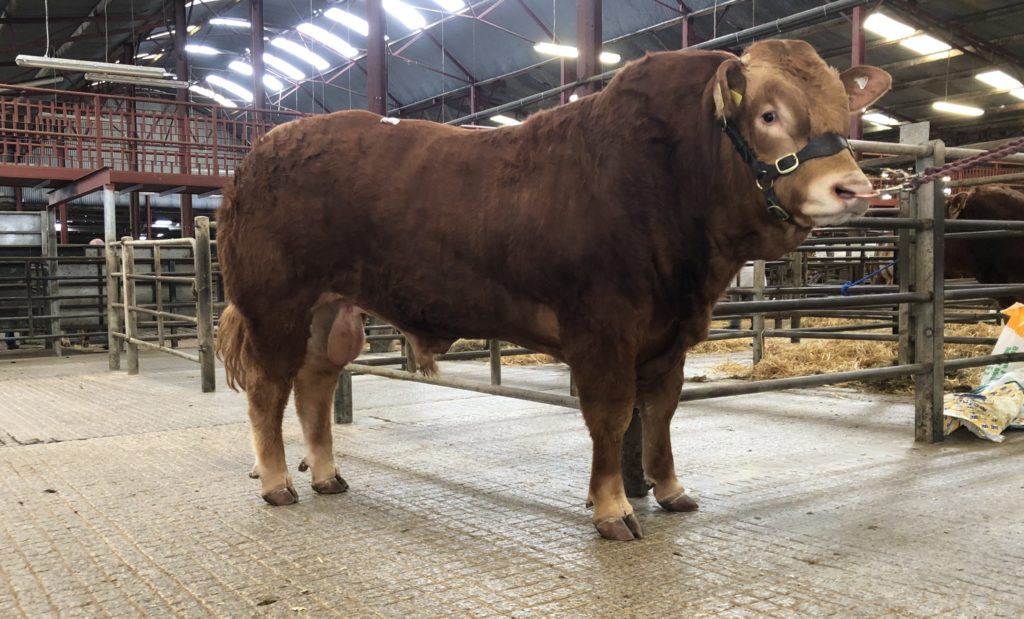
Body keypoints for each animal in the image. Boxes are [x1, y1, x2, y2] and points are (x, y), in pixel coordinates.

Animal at [216, 39, 890, 541]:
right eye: (768, 114)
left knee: (315, 385)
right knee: (268, 391)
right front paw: (613, 509)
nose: (854, 188)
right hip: (274, 305)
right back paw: (277, 482)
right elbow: (612, 418)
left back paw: (327, 474)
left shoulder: (669, 335)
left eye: (841, 110)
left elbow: (662, 413)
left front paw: (670, 489)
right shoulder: (603, 331)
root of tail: (259, 152)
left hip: (333, 311)